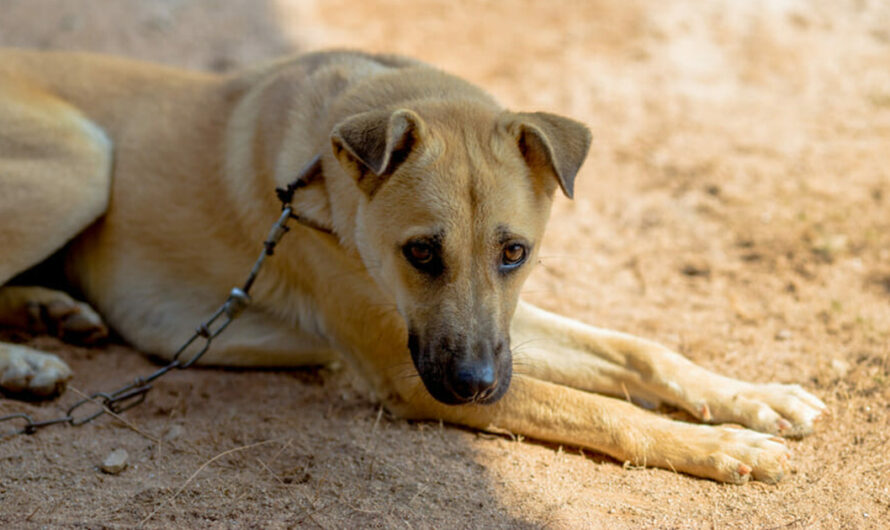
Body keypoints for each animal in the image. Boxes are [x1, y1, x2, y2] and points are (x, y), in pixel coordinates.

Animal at [0, 49, 824, 482]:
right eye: (420, 252)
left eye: (515, 253)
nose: (476, 386)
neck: (321, 177)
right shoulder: (409, 368)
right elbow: (601, 410)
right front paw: (720, 447)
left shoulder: (502, 331)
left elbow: (641, 351)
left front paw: (755, 399)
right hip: (84, 160)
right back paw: (27, 360)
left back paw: (50, 314)